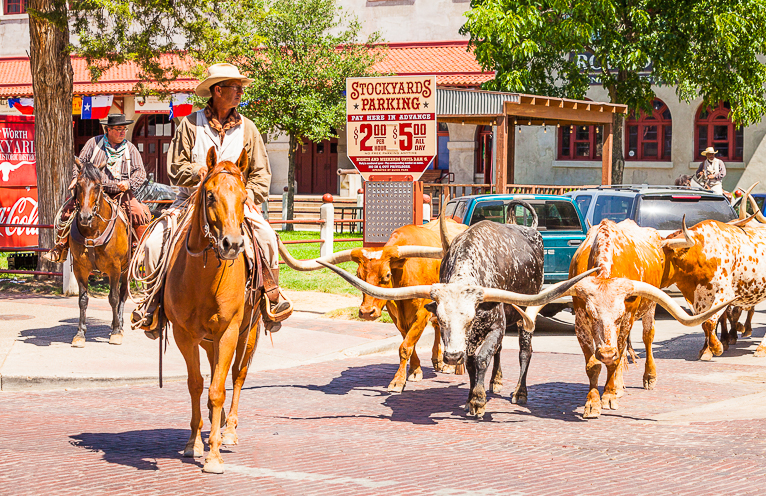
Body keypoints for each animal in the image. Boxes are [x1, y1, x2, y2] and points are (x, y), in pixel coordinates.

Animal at [70, 157, 130, 346]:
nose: (85, 217)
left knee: (123, 293)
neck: (93, 232)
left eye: (98, 186)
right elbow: (82, 299)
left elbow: (114, 298)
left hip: (126, 269)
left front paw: (116, 332)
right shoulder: (79, 268)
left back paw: (119, 324)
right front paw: (80, 333)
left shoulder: (115, 268)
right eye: (78, 184)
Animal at [162, 146, 260, 472]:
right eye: (210, 195)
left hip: (248, 332)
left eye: (243, 197)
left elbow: (218, 389)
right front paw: (193, 442)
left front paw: (214, 454)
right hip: (208, 342)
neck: (203, 278)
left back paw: (229, 429)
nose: (233, 244)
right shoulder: (184, 335)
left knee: (237, 375)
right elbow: (196, 384)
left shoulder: (229, 331)